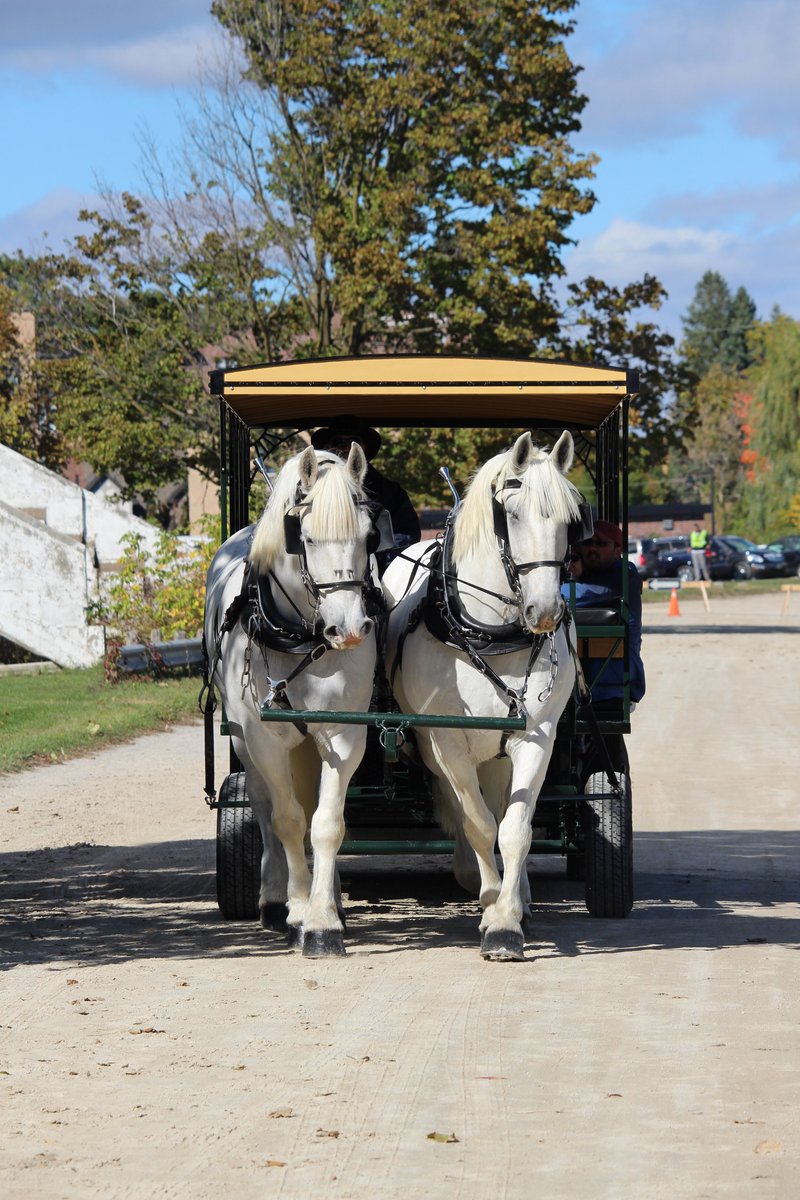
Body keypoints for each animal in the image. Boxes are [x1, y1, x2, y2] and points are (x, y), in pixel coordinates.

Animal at [204, 443, 381, 957]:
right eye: (304, 537)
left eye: (370, 535)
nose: (349, 629)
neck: (302, 638)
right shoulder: (262, 738)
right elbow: (286, 819)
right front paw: (299, 910)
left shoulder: (344, 734)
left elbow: (326, 823)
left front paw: (323, 919)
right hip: (243, 740)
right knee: (264, 807)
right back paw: (273, 898)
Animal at [382, 431, 586, 961]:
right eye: (511, 514)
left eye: (571, 518)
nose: (545, 611)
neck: (492, 633)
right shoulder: (448, 742)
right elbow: (477, 822)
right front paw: (491, 900)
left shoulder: (536, 736)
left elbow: (515, 828)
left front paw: (507, 920)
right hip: (435, 749)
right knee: (466, 807)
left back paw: (520, 897)